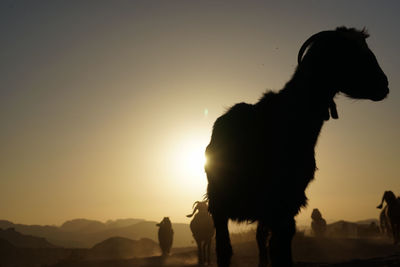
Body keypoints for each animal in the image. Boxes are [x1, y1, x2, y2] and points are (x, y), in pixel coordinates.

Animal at [205, 27, 390, 267]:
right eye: (350, 51)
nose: (384, 84)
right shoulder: (275, 200)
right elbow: (276, 247)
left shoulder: (288, 200)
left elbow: (281, 246)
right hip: (219, 200)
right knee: (225, 247)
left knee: (260, 239)